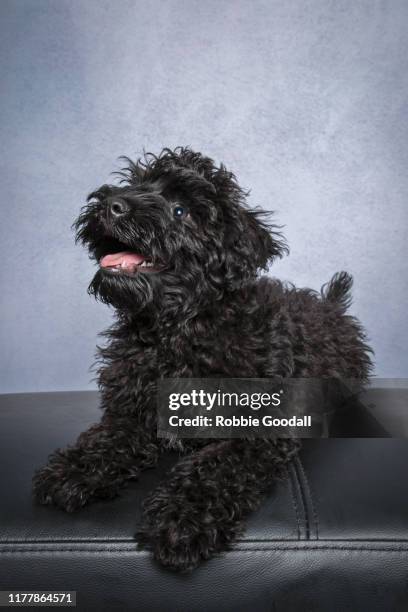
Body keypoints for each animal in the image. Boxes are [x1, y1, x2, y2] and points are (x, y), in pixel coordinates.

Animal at [32, 147, 372, 568]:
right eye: (136, 183)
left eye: (181, 210)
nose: (112, 204)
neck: (181, 328)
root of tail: (331, 306)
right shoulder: (131, 411)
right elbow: (108, 437)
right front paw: (74, 470)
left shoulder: (257, 432)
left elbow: (214, 469)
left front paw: (181, 519)